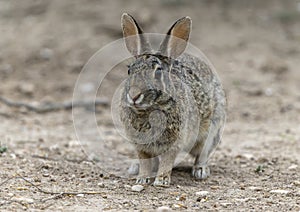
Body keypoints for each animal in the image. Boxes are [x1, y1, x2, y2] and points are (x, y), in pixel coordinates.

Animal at [119, 13, 225, 186]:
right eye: (129, 70)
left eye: (158, 72)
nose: (134, 95)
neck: (148, 110)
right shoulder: (140, 146)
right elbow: (144, 161)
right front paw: (142, 179)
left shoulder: (175, 142)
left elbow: (167, 160)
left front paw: (161, 181)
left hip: (213, 128)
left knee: (202, 153)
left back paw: (200, 171)